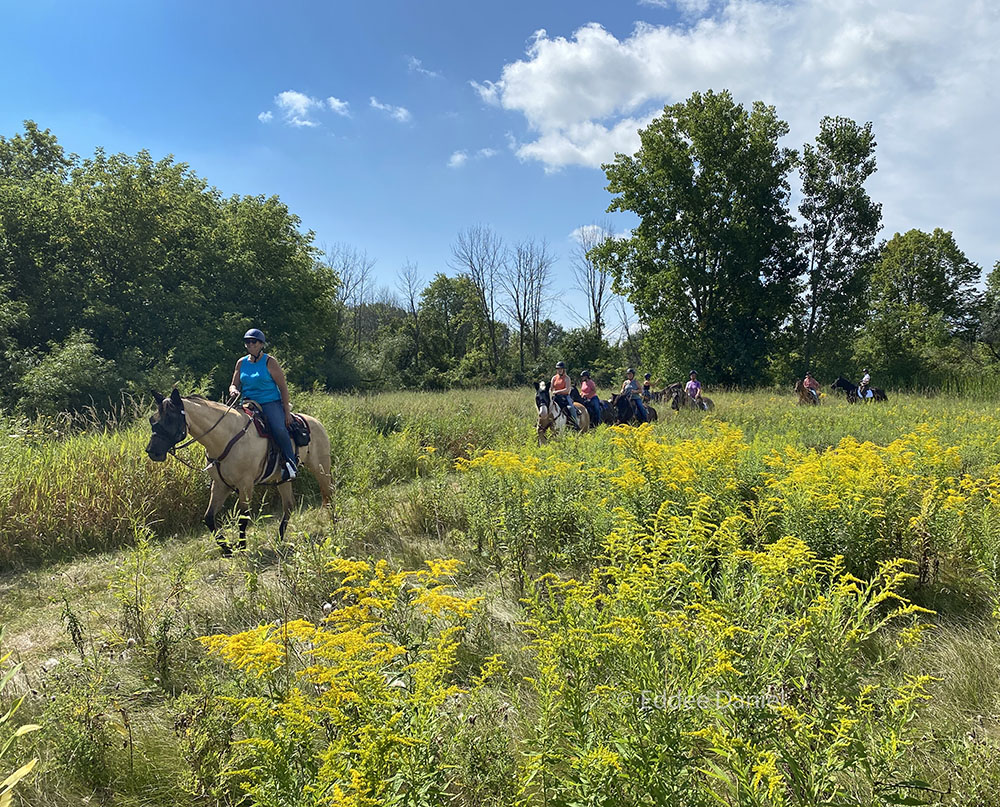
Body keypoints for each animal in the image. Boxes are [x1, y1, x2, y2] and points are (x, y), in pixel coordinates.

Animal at [145, 390, 334, 556]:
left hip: (320, 468)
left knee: (329, 494)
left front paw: (241, 548)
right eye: (152, 419)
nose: (151, 451)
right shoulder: (220, 485)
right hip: (283, 479)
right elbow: (209, 518)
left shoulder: (245, 485)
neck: (225, 438)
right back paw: (279, 539)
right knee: (289, 505)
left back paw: (334, 523)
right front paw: (227, 548)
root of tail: (316, 422)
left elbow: (243, 519)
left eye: (170, 419)